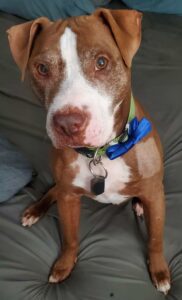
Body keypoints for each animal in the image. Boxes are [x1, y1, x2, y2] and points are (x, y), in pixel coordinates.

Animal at [6, 8, 169, 294]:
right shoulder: (68, 198)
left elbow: (156, 240)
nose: (68, 123)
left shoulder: (155, 196)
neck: (101, 153)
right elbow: (70, 238)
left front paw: (159, 271)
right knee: (54, 190)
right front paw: (64, 265)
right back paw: (36, 209)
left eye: (101, 62)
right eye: (42, 68)